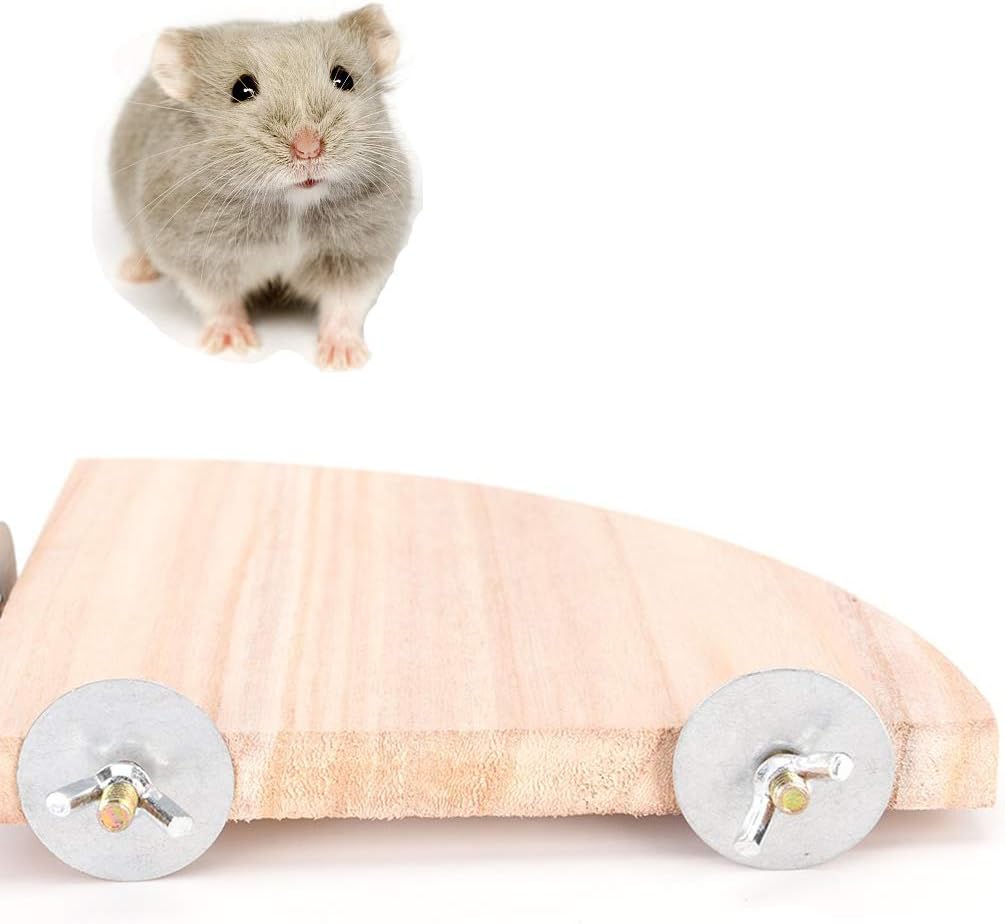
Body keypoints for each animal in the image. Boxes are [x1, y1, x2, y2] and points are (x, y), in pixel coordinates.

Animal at [110, 4, 412, 369]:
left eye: (344, 78)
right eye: (241, 90)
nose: (308, 149)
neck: (293, 204)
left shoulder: (360, 252)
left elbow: (344, 304)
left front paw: (343, 359)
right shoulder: (199, 253)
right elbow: (218, 300)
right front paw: (233, 345)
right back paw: (135, 270)